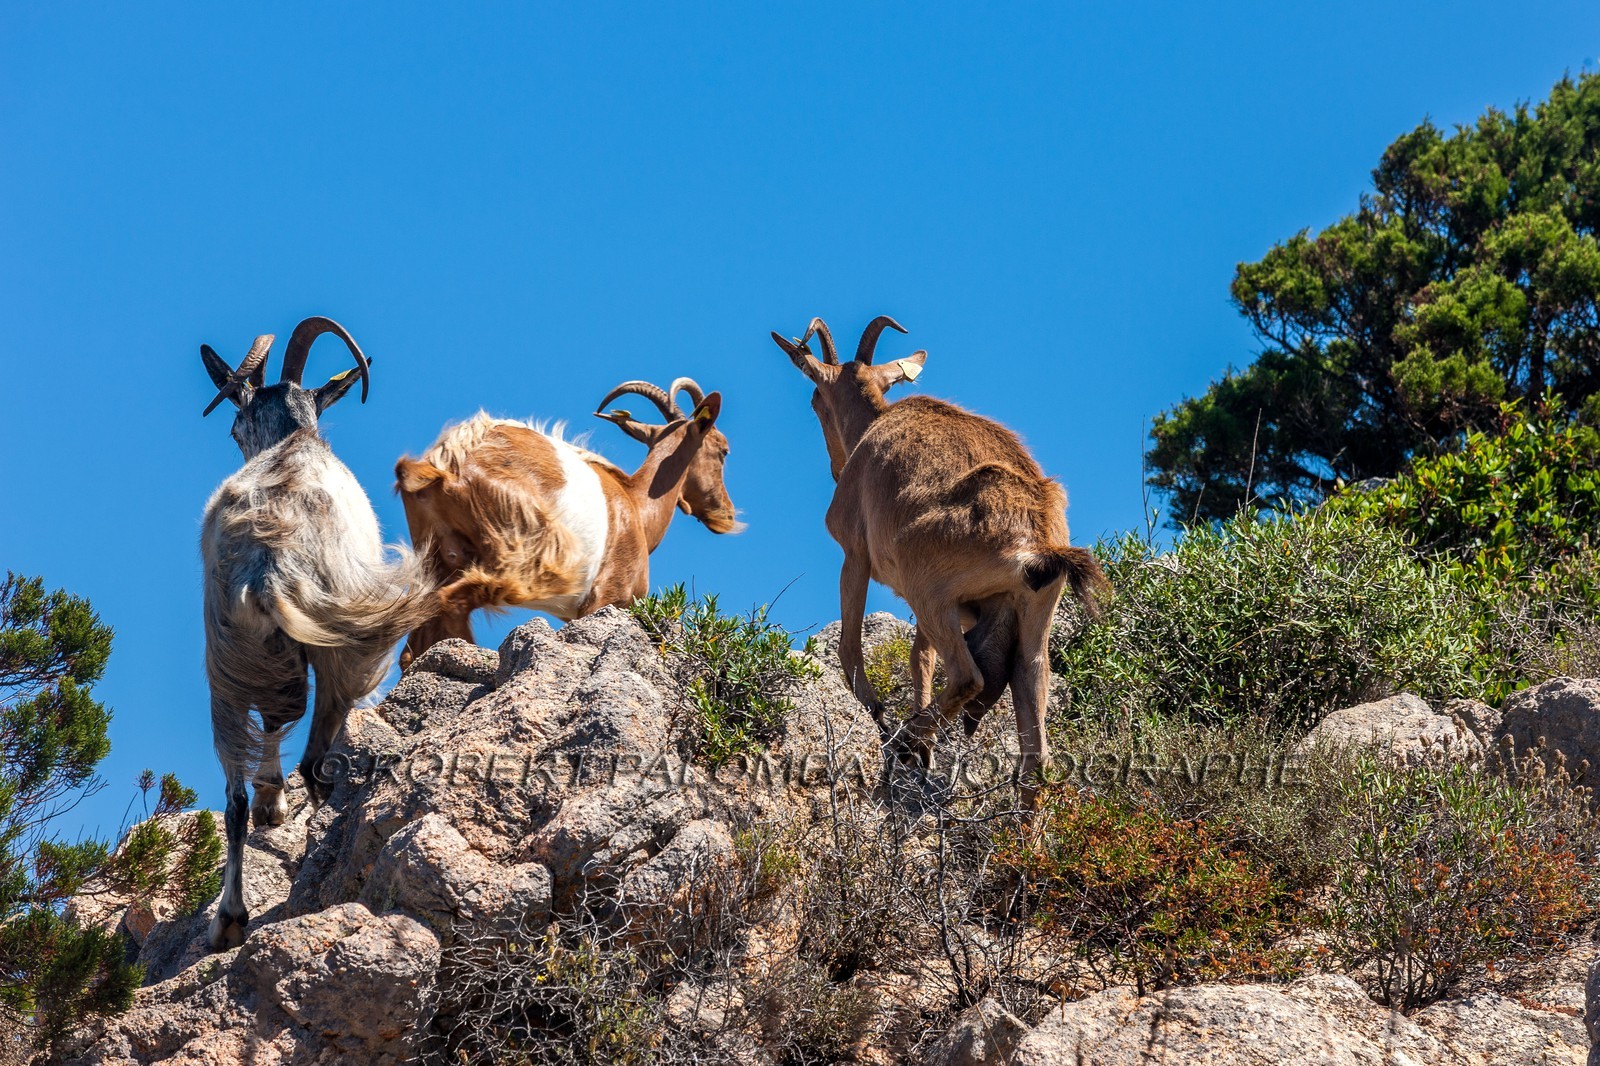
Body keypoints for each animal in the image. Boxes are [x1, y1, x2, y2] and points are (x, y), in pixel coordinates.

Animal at [199, 317, 435, 950]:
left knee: (233, 791)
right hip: (335, 641)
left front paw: (269, 803)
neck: (294, 441)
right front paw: (278, 804)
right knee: (313, 752)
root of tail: (268, 561)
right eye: (234, 428)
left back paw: (229, 919)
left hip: (225, 655)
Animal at [395, 378, 739, 665]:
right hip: (523, 553)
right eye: (723, 451)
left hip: (438, 558)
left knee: (415, 644)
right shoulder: (608, 598)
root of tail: (446, 464)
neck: (637, 507)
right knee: (452, 602)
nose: (726, 513)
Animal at [771, 316, 1108, 801]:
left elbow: (850, 650)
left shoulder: (855, 556)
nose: (837, 469)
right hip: (1030, 625)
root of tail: (1039, 540)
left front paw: (887, 722)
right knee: (1035, 752)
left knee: (969, 678)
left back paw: (907, 741)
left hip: (926, 590)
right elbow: (920, 658)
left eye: (816, 400)